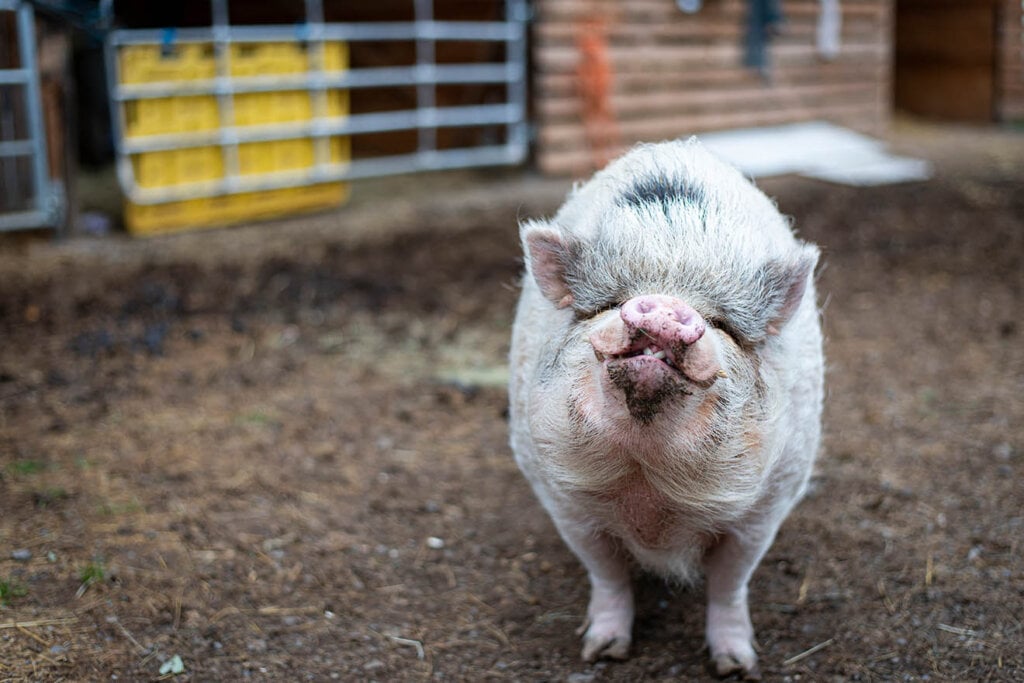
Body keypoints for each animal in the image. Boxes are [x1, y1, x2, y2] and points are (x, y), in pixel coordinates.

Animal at [508, 138, 823, 679]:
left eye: (723, 324)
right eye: (609, 303)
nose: (663, 304)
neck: (647, 479)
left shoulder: (767, 506)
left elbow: (730, 583)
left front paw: (736, 665)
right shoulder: (566, 503)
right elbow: (606, 573)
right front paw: (602, 652)